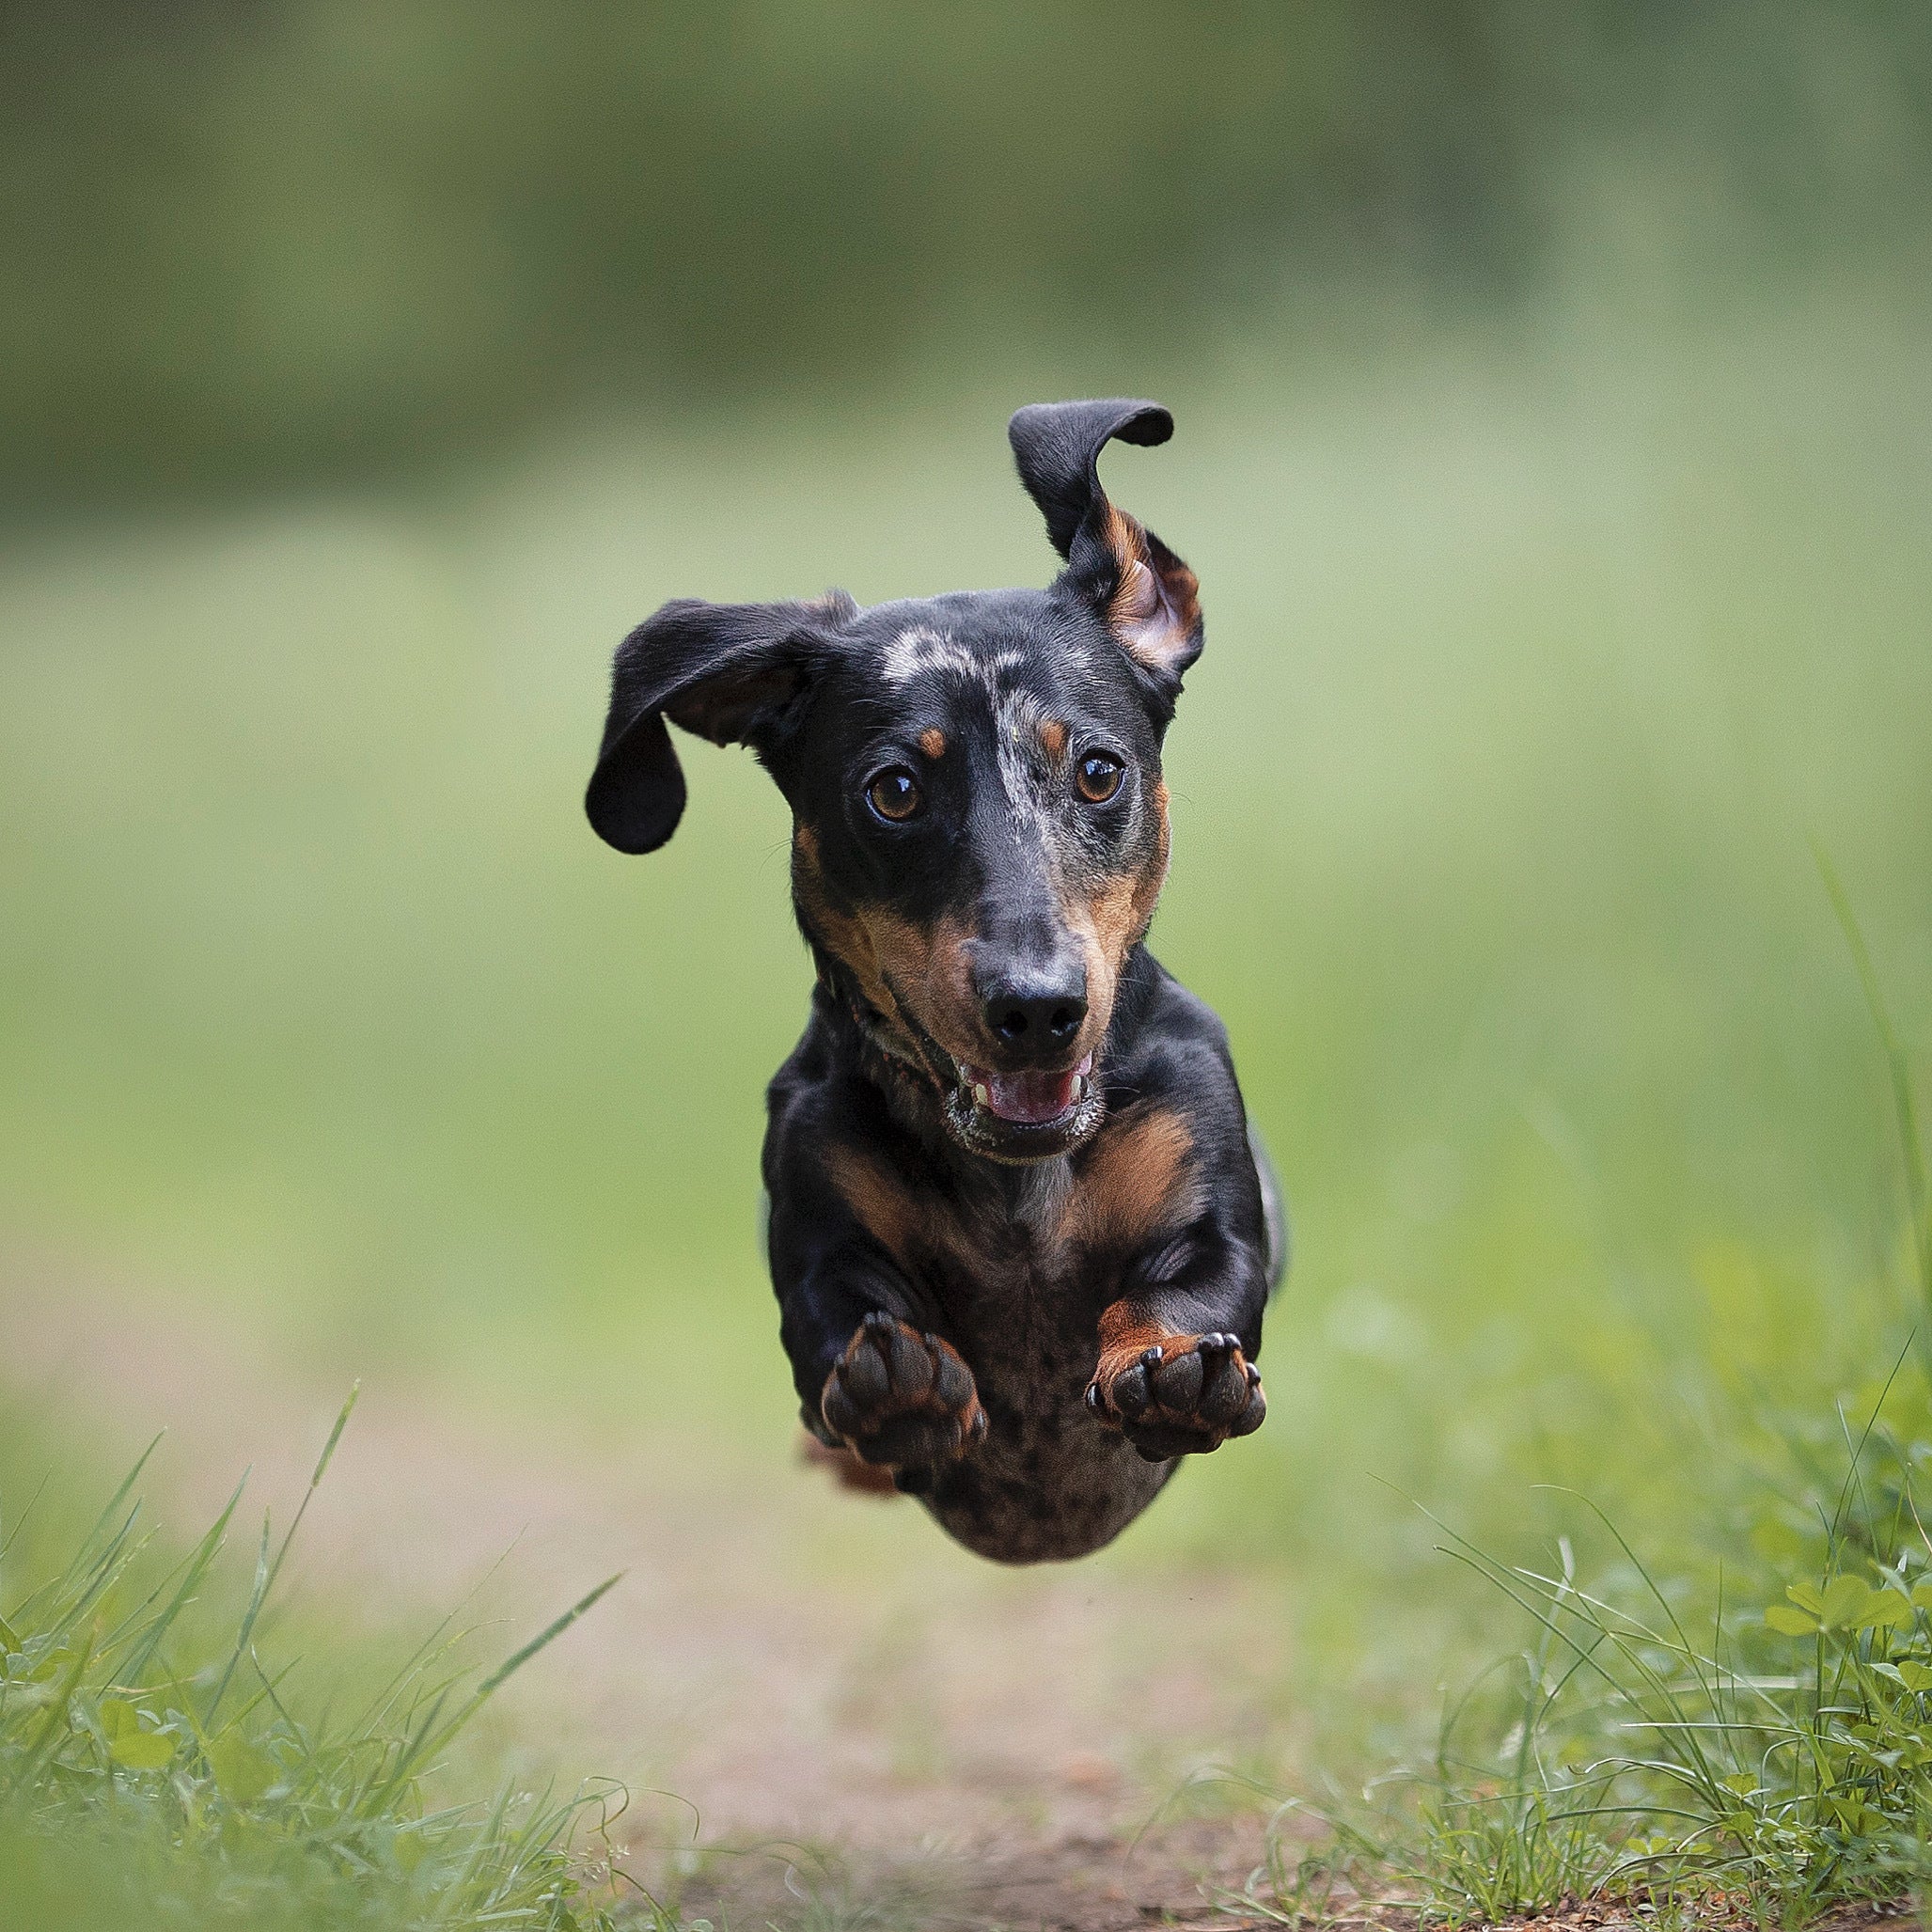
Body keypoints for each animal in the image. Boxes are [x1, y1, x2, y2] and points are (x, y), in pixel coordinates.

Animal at [583, 400, 1282, 1561]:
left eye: (1100, 770)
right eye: (896, 790)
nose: (1037, 1011)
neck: (1016, 1189)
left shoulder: (1212, 1203)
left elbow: (1198, 1288)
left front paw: (1171, 1369)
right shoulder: (819, 1226)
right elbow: (842, 1314)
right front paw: (897, 1386)